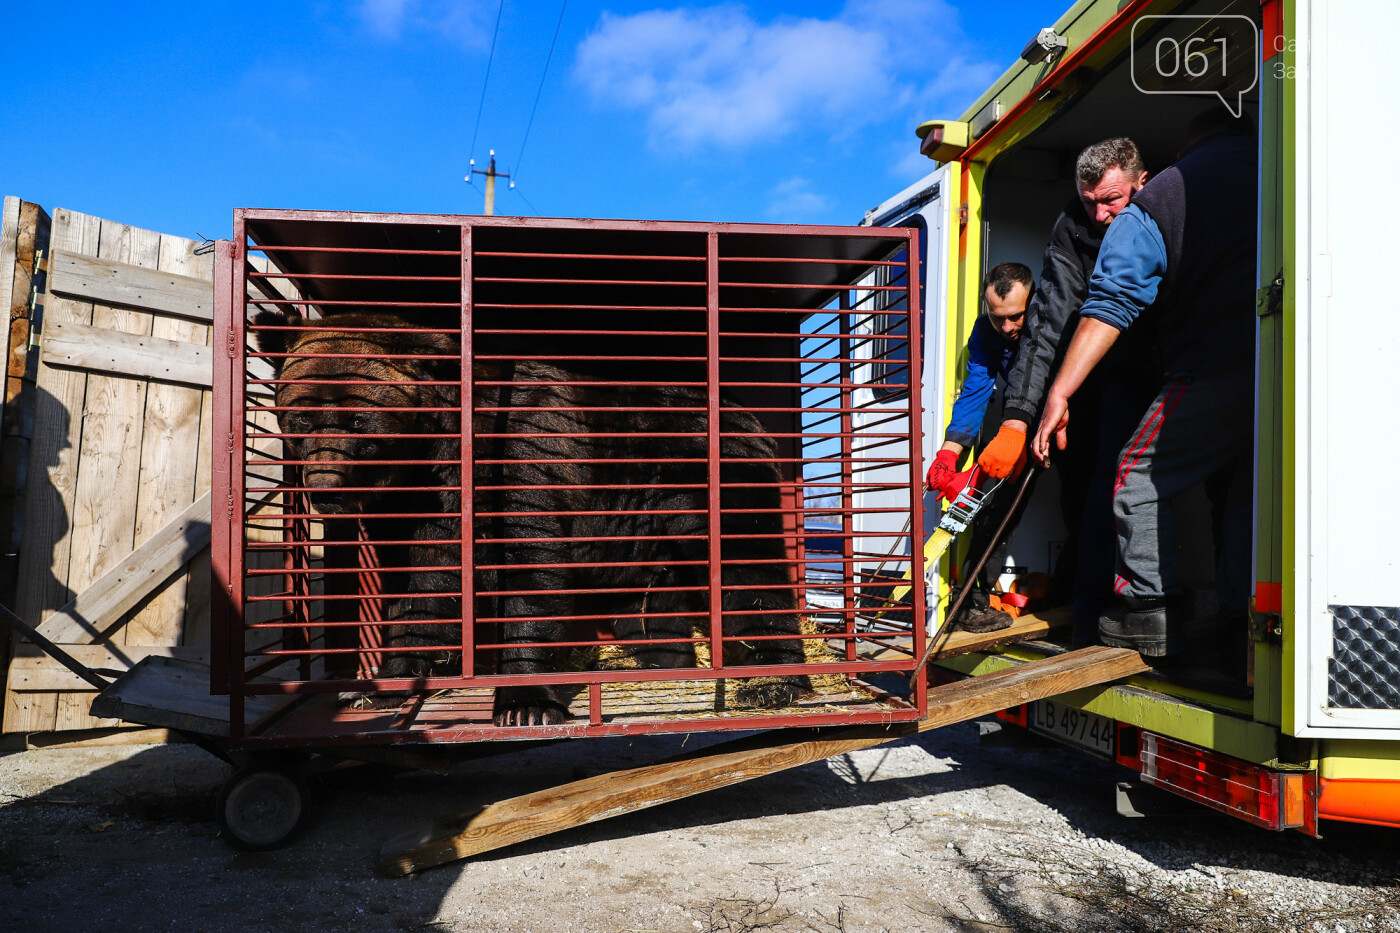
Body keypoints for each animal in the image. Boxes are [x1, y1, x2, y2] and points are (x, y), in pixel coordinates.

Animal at [252, 308, 812, 722]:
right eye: (301, 417)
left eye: (360, 420)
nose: (326, 488)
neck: (434, 455)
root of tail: (748, 413)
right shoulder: (415, 507)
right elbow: (420, 588)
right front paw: (380, 684)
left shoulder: (518, 460)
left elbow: (528, 564)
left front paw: (524, 703)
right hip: (638, 528)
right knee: (653, 603)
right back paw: (662, 667)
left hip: (699, 474)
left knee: (745, 566)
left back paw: (774, 683)